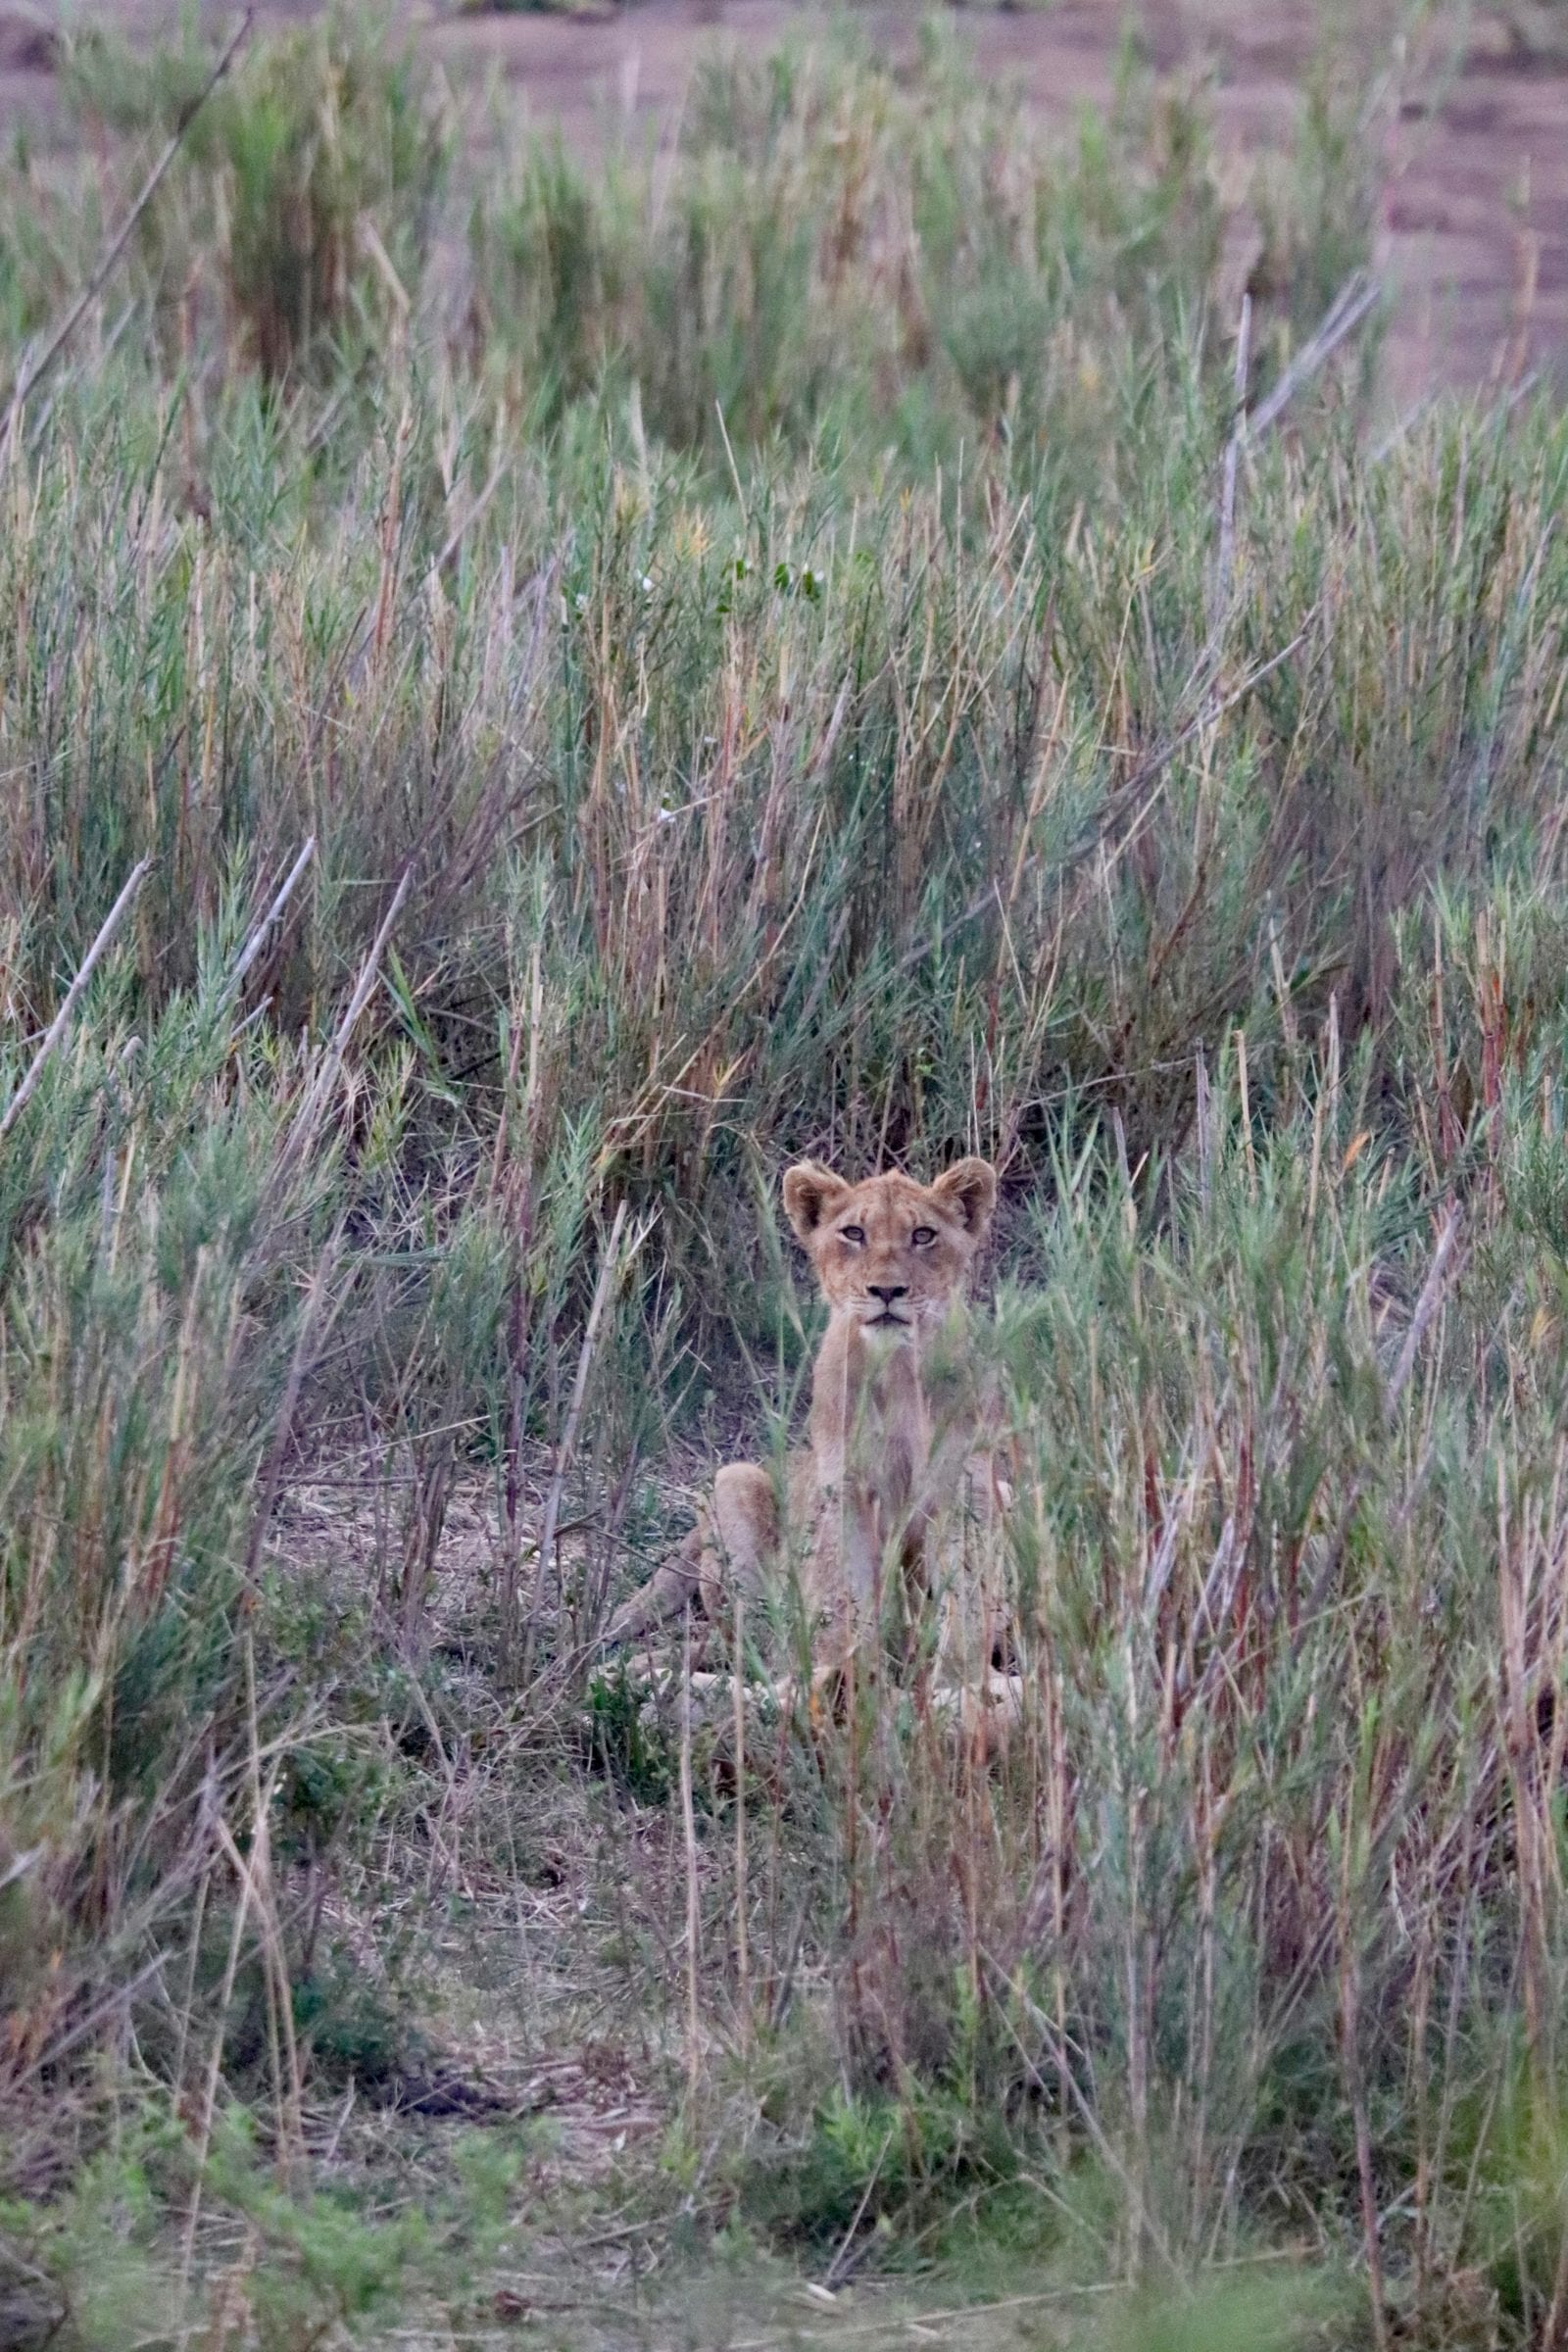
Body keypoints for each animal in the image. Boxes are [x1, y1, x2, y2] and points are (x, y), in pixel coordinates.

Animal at [603, 1156, 1015, 1706]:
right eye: (854, 1233)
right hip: (733, 1483)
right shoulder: (844, 1490)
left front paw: (957, 1683)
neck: (896, 1371)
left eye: (923, 1235)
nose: (887, 1291)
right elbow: (842, 1591)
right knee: (741, 1644)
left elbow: (967, 1597)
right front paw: (841, 1672)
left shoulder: (967, 1488)